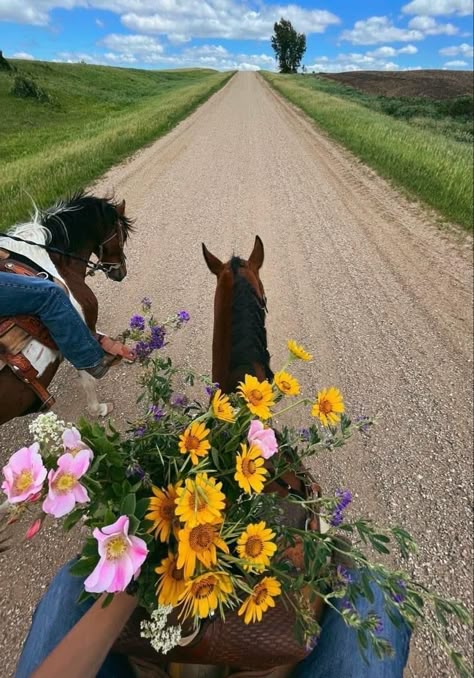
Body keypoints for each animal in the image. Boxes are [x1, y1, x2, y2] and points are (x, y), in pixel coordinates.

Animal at [0, 191, 133, 424]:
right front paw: (98, 409)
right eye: (121, 235)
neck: (53, 263)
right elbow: (88, 373)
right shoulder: (80, 327)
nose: (120, 272)